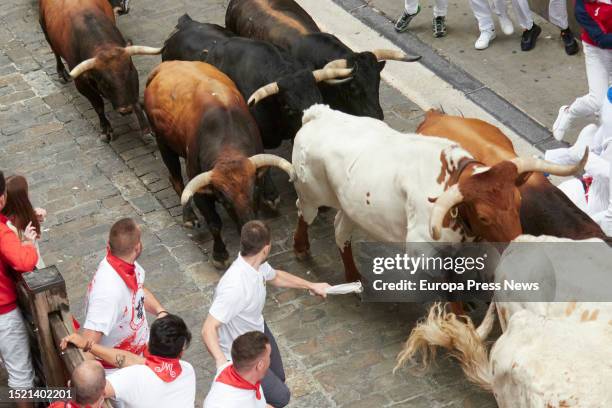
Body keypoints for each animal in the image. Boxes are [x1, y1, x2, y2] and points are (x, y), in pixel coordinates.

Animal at [38, 0, 160, 141]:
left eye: (128, 76)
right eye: (104, 83)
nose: (125, 109)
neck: (102, 46)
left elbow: (135, 99)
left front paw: (146, 130)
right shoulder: (81, 84)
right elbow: (98, 105)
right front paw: (106, 129)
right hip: (45, 31)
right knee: (55, 51)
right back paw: (61, 73)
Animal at [146, 59, 294, 264]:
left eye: (255, 190)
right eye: (225, 200)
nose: (249, 226)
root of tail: (165, 65)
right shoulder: (200, 191)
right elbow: (214, 223)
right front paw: (220, 254)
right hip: (163, 143)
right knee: (175, 179)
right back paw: (189, 216)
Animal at [292, 105, 588, 282]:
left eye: (518, 202)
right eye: (484, 216)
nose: (522, 249)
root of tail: (319, 114)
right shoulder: (425, 253)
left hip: (353, 208)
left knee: (340, 231)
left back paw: (354, 277)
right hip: (311, 193)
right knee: (303, 210)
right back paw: (300, 247)